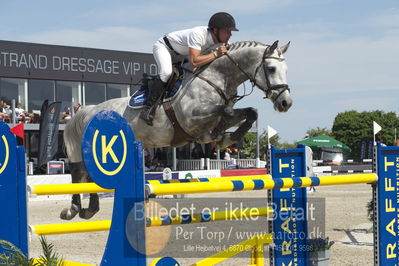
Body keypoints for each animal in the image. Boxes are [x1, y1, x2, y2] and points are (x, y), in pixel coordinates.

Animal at [61, 40, 294, 219]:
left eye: (286, 70)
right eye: (271, 69)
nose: (286, 103)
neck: (216, 79)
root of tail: (89, 110)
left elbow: (249, 113)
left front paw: (226, 139)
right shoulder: (191, 119)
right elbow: (225, 112)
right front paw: (222, 138)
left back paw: (88, 209)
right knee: (81, 171)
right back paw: (74, 210)